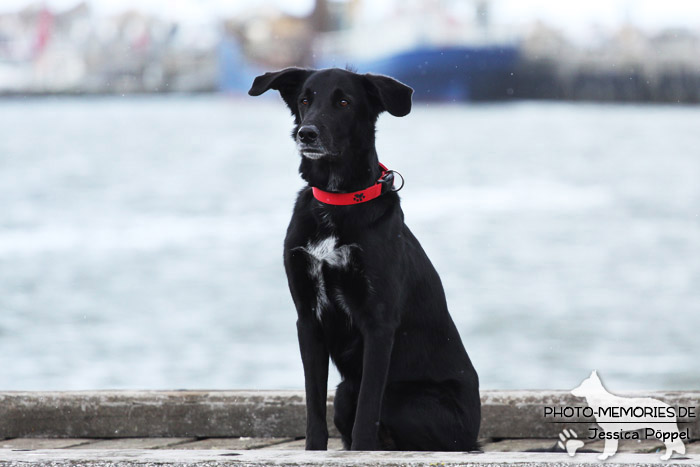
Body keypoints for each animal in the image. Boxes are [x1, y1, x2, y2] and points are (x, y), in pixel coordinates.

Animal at [247, 67, 482, 452]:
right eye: (305, 100)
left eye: (344, 102)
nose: (307, 133)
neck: (337, 201)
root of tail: (473, 435)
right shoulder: (307, 319)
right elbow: (314, 407)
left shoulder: (378, 323)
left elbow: (367, 412)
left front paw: (360, 451)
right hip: (345, 391)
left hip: (402, 401)